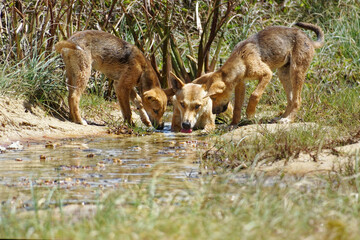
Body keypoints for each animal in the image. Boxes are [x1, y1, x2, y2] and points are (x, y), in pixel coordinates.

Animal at [194, 22, 326, 125]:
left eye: (214, 97)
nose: (213, 112)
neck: (242, 59)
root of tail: (308, 39)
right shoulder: (240, 84)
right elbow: (237, 107)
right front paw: (233, 124)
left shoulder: (267, 74)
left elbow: (254, 95)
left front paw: (250, 113)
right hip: (283, 74)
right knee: (291, 100)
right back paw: (282, 117)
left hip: (296, 71)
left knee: (297, 99)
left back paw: (288, 119)